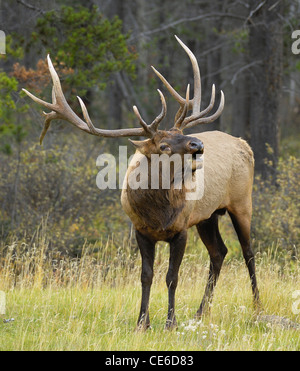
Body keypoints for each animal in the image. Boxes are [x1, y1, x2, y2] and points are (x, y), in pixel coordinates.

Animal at [23, 35, 260, 332]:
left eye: (181, 133)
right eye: (164, 145)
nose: (198, 144)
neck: (157, 213)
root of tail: (245, 144)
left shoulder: (180, 228)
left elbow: (172, 277)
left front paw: (170, 322)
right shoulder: (140, 230)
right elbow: (146, 275)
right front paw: (142, 323)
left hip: (241, 202)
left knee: (248, 252)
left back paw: (256, 308)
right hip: (208, 216)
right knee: (219, 252)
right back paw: (200, 313)